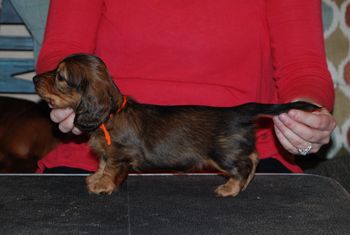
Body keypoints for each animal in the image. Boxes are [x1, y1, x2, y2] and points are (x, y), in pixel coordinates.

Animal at [33, 53, 320, 196]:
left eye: (60, 77)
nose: (34, 78)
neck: (111, 114)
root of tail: (238, 111)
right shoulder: (108, 153)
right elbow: (102, 163)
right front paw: (96, 177)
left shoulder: (120, 154)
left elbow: (111, 169)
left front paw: (102, 186)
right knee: (253, 156)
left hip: (223, 154)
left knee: (244, 165)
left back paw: (230, 188)